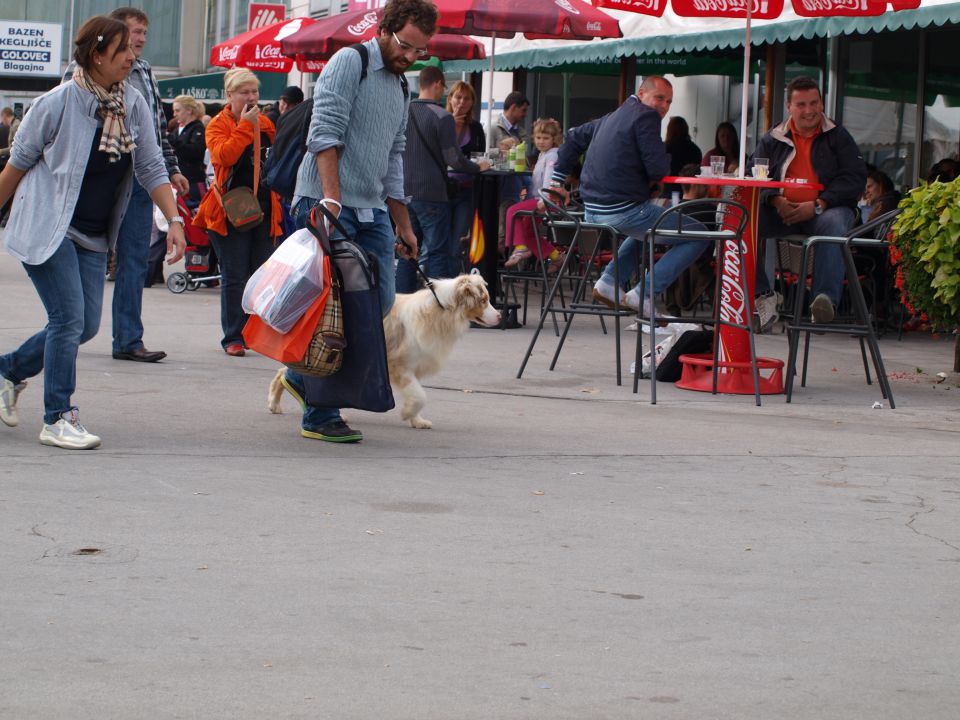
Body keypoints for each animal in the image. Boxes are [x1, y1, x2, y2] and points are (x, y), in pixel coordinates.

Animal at [266, 270, 498, 428]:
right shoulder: (398, 365)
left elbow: (417, 393)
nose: (500, 315)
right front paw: (407, 413)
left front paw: (417, 420)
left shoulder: (415, 364)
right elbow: (420, 395)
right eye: (484, 300)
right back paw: (277, 404)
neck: (442, 310)